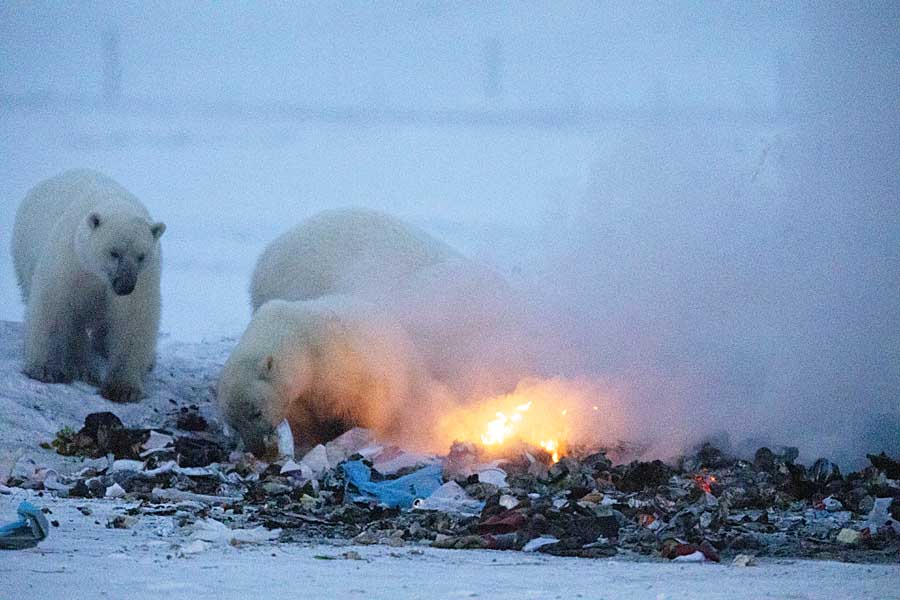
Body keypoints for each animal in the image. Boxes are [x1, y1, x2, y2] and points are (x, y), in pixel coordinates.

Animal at [11, 169, 165, 404]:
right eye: (114, 252)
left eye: (141, 256)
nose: (125, 286)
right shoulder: (70, 261)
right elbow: (52, 304)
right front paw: (46, 370)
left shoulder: (144, 278)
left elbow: (133, 320)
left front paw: (123, 388)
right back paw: (83, 365)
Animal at [220, 296, 428, 454]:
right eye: (234, 424)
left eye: (257, 413)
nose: (257, 449)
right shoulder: (298, 399)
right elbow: (305, 425)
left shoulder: (342, 368)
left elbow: (360, 410)